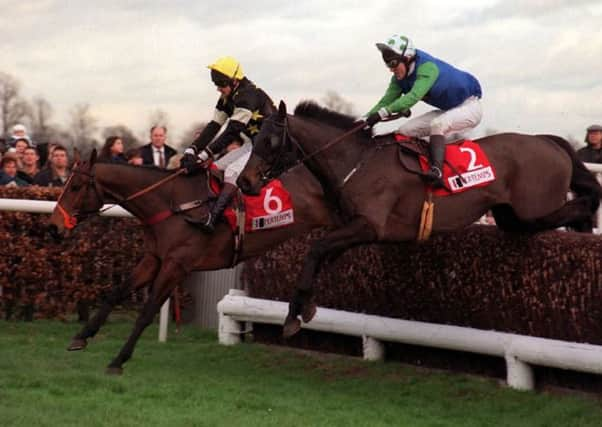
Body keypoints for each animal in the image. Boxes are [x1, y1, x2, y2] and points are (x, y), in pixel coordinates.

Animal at [48, 151, 336, 374]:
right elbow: (115, 293)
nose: (53, 227)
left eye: (75, 187)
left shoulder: (176, 265)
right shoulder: (154, 258)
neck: (172, 205)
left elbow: (147, 311)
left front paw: (118, 360)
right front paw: (81, 337)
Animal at [236, 101, 600, 338]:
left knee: (569, 211)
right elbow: (321, 256)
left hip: (533, 206)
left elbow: (315, 251)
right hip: (509, 214)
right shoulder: (351, 229)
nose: (244, 182)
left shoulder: (369, 226)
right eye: (254, 138)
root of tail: (547, 140)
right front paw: (305, 305)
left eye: (270, 141)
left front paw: (294, 311)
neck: (355, 163)